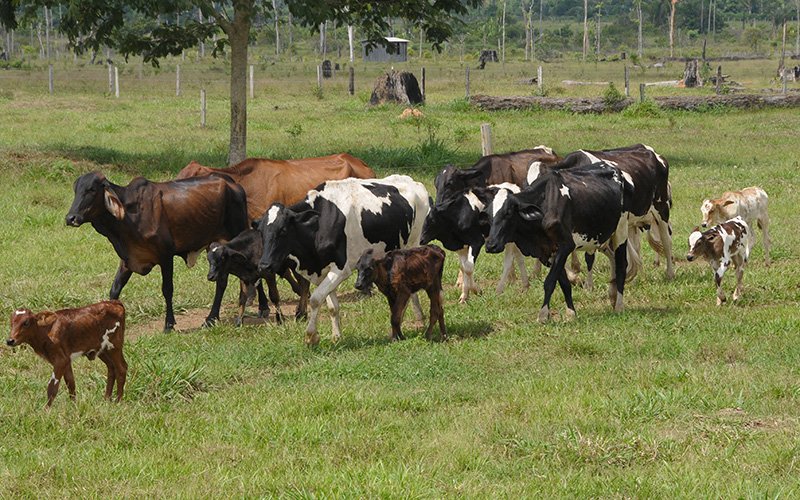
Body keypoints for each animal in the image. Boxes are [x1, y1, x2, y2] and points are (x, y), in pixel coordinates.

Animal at [66, 171, 250, 332]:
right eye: (75, 189)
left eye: (92, 189)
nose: (70, 218)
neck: (129, 216)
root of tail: (233, 184)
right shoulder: (128, 258)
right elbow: (115, 289)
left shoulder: (166, 255)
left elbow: (167, 289)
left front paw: (169, 325)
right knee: (222, 281)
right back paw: (211, 319)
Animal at [256, 174, 432, 346]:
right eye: (261, 231)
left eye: (283, 230)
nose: (264, 265)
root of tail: (413, 182)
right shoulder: (323, 270)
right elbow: (332, 306)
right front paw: (336, 337)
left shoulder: (341, 270)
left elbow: (315, 299)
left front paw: (311, 336)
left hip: (412, 245)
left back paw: (416, 321)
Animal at [484, 162, 636, 322]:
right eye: (488, 214)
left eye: (508, 213)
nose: (491, 245)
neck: (545, 205)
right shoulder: (550, 249)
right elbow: (564, 283)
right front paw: (571, 313)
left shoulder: (566, 245)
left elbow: (550, 281)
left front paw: (543, 314)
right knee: (613, 260)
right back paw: (612, 296)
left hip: (621, 229)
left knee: (621, 265)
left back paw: (619, 305)